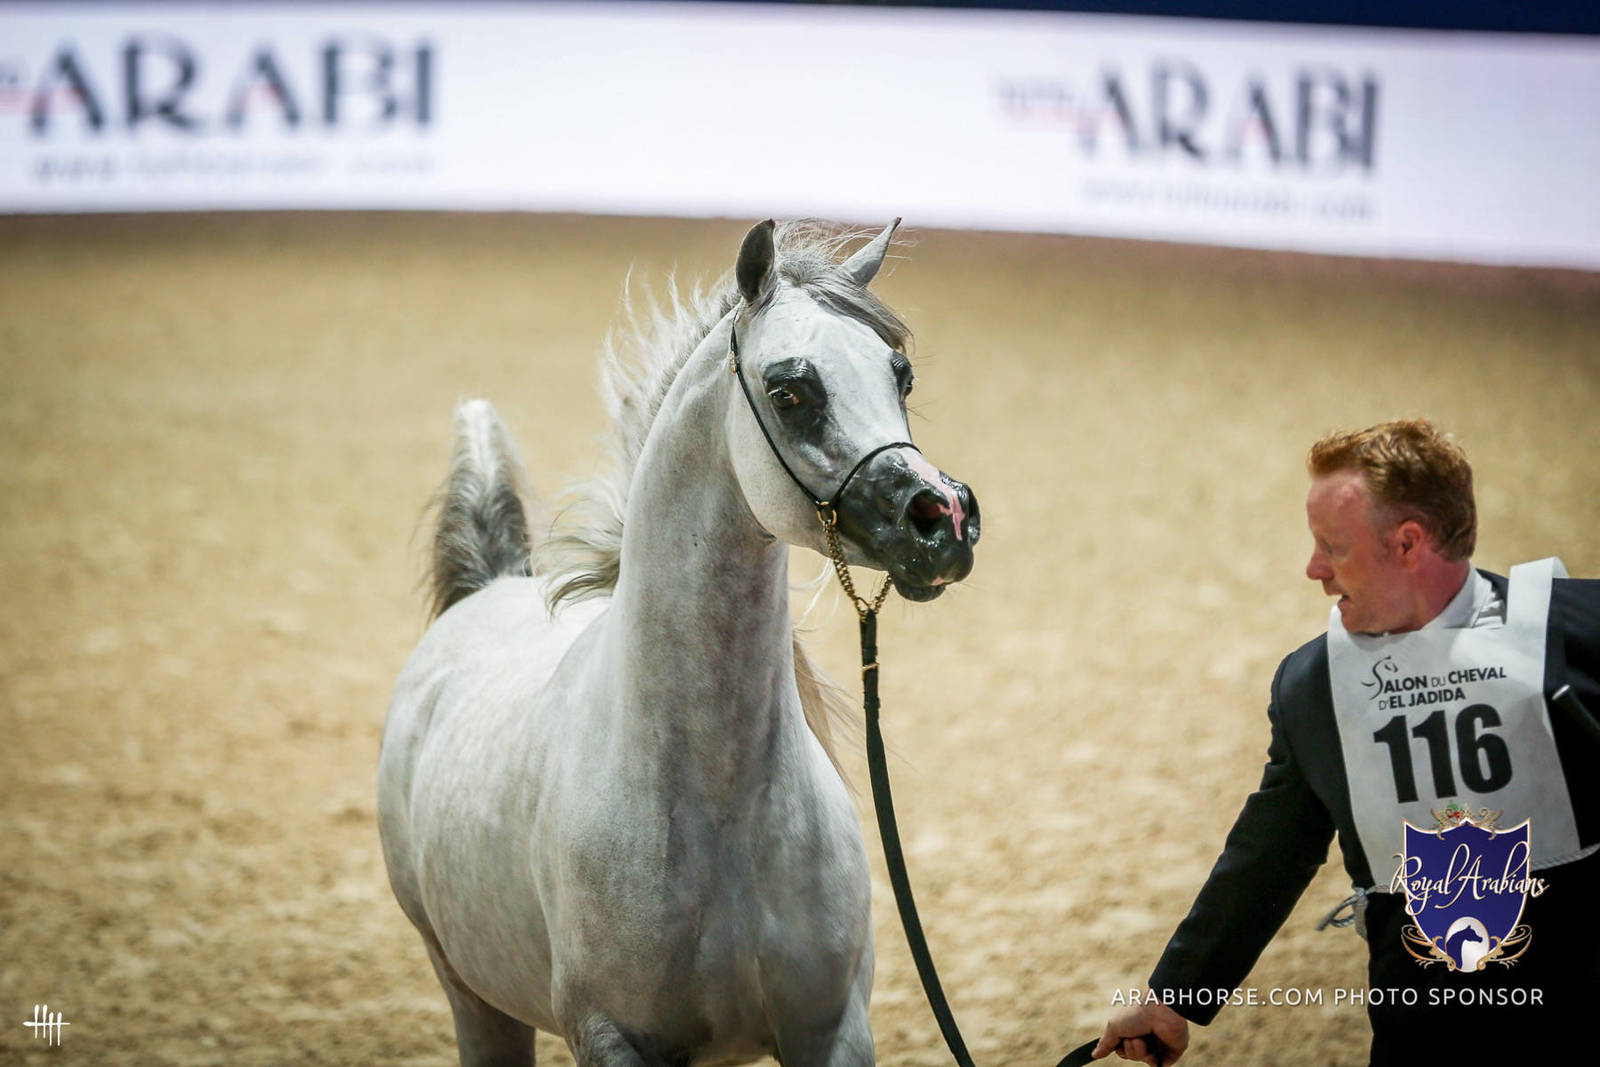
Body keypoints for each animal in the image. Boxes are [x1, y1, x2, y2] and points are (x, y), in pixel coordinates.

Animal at [378, 219, 980, 1067]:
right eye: (791, 391)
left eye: (903, 375)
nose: (945, 519)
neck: (715, 807)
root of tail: (485, 587)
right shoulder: (609, 1035)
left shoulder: (831, 1028)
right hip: (472, 994)